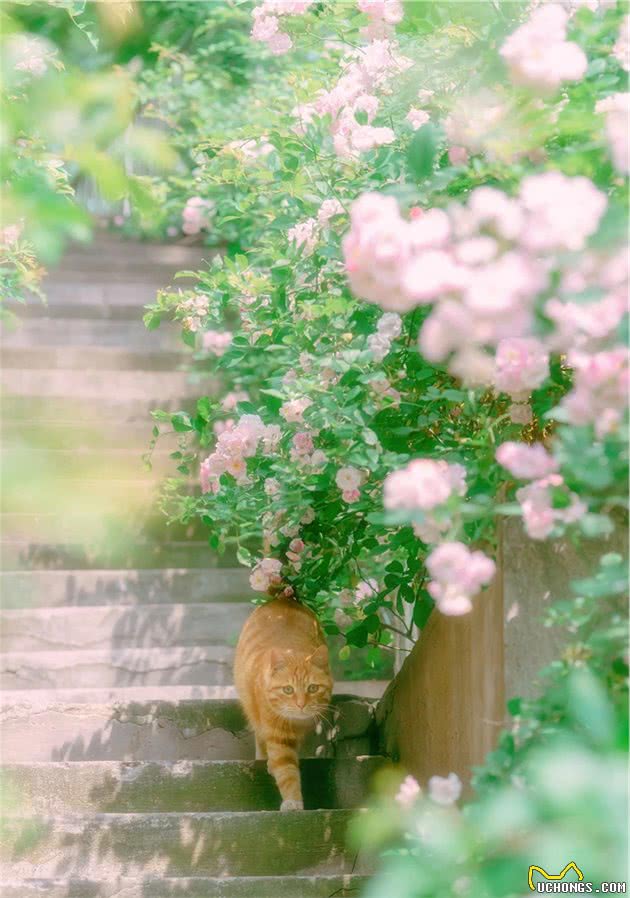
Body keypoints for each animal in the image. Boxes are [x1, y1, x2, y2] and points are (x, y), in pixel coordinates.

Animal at [236, 596, 336, 812]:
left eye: (312, 688)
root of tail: (282, 598)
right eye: (288, 690)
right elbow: (287, 772)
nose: (300, 704)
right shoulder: (278, 736)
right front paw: (293, 801)